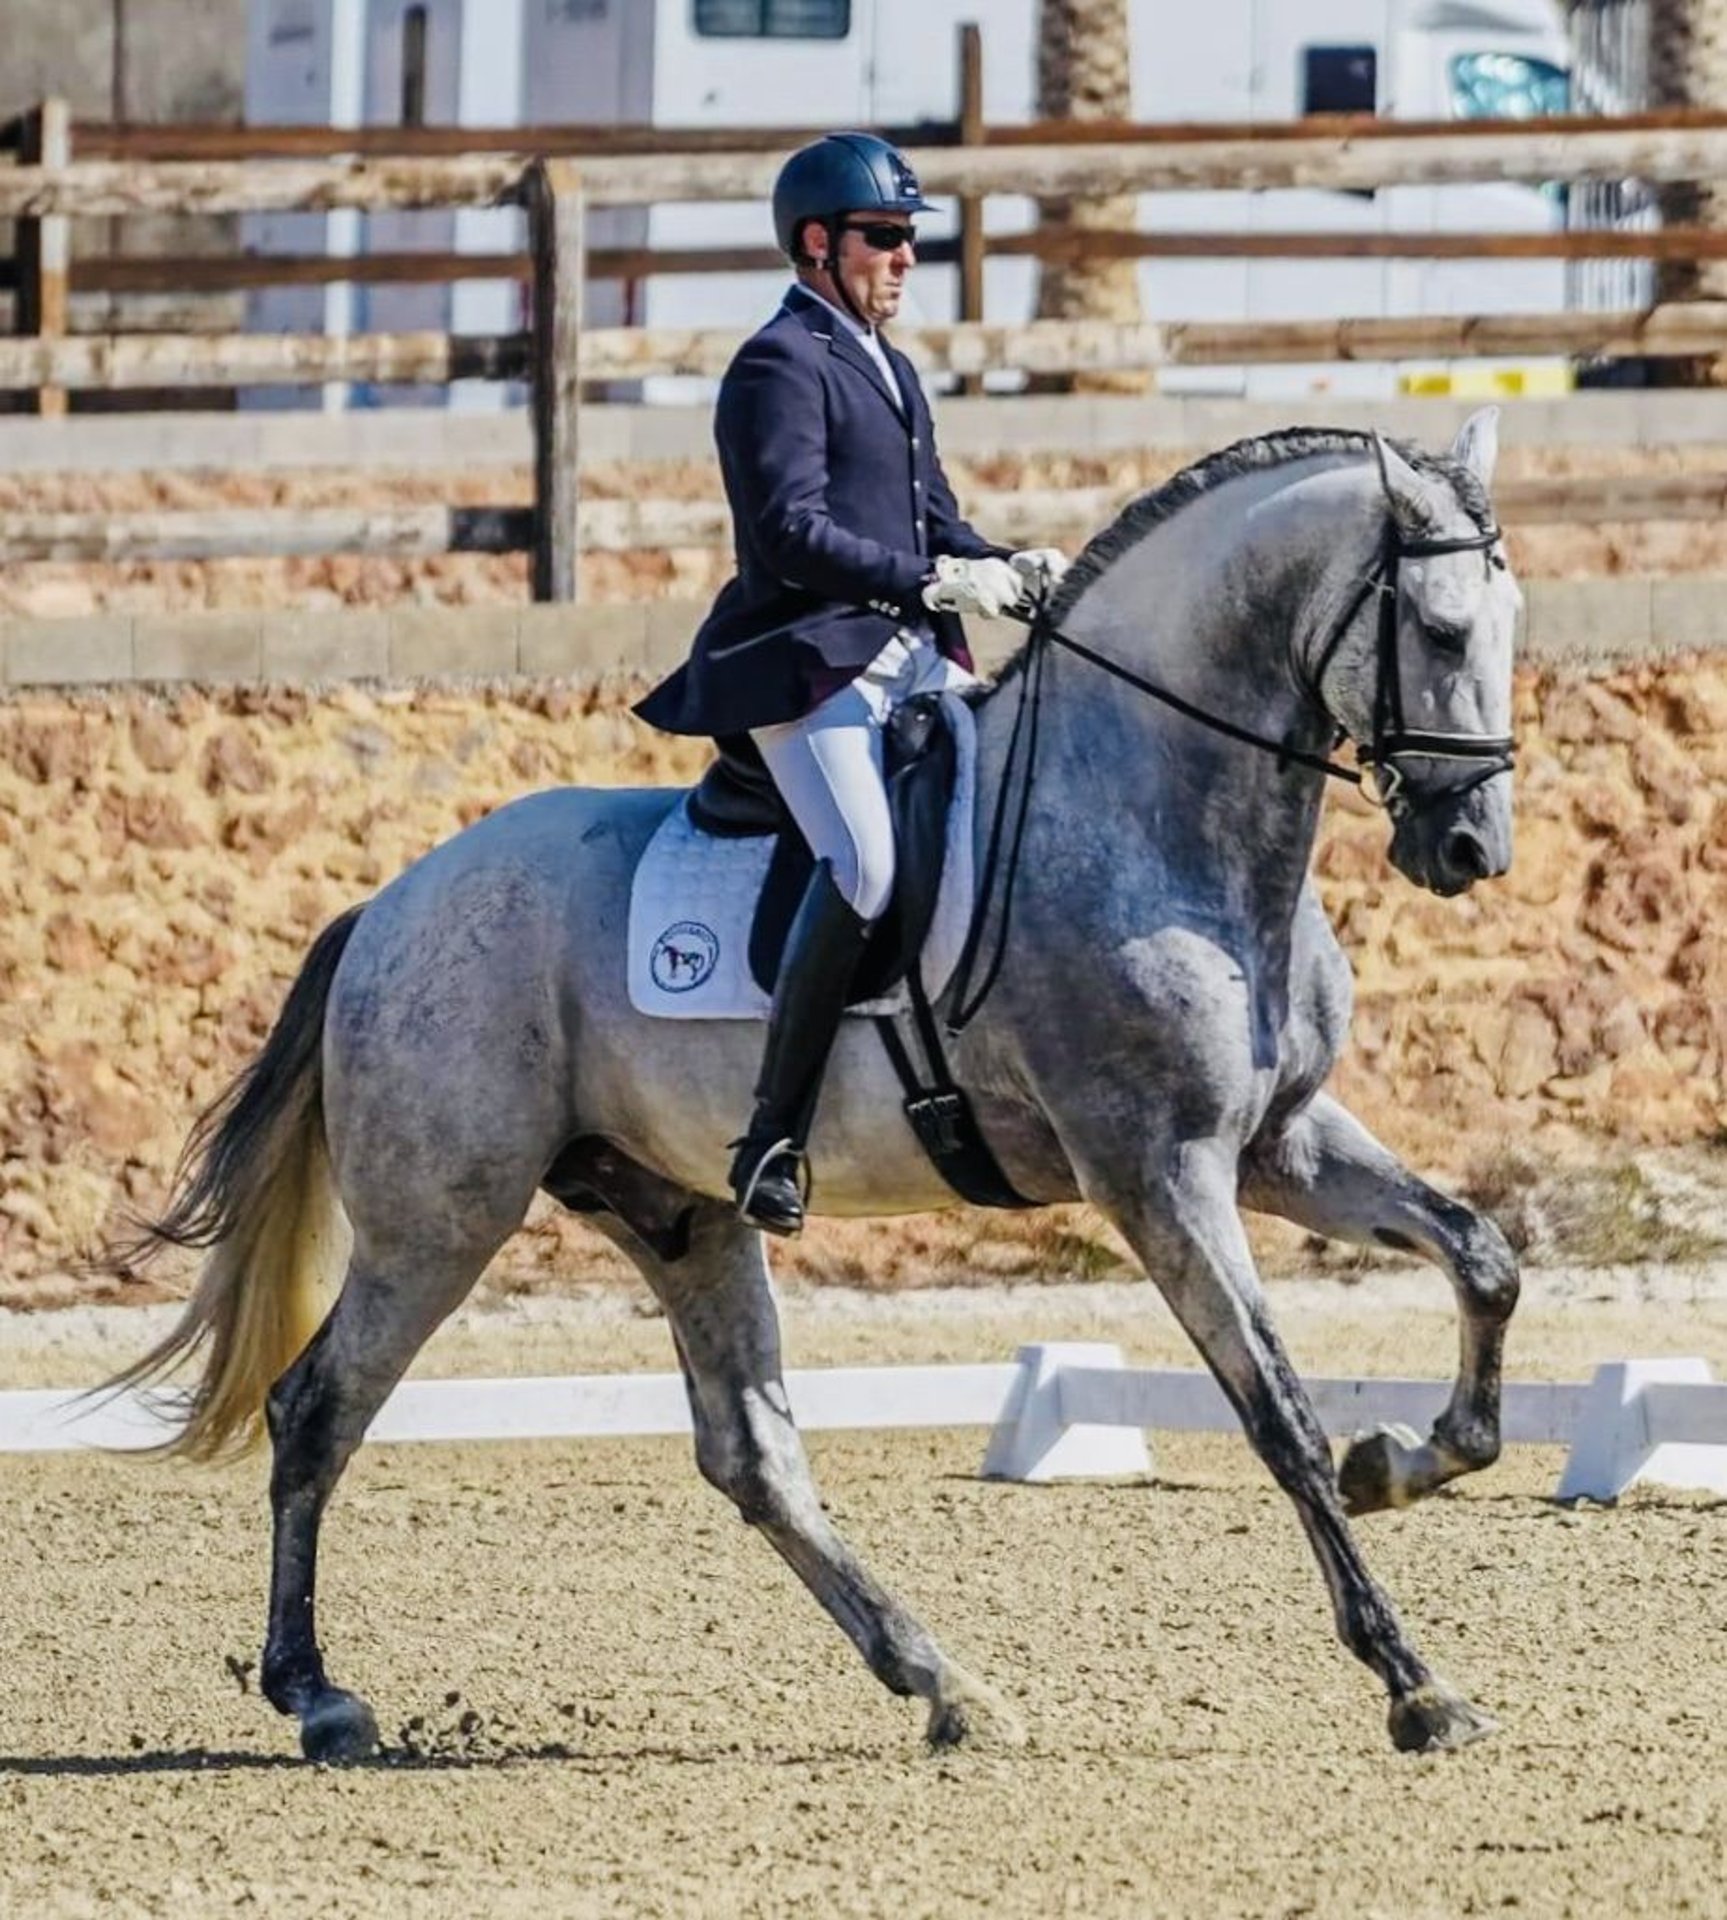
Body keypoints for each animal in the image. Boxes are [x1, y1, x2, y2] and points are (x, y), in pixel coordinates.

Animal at [108, 412, 1521, 1758]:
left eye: (1506, 625)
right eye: (1440, 628)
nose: (1467, 850)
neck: (1145, 808)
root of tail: (386, 909)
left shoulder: (1277, 1141)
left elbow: (1480, 1259)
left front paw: (1400, 1459)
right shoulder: (1155, 1170)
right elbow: (1275, 1411)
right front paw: (1413, 1682)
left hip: (682, 1215)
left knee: (753, 1453)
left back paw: (944, 1683)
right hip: (439, 1222)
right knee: (316, 1410)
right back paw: (316, 1697)